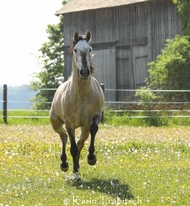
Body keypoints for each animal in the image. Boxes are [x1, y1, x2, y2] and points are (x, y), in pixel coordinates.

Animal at [49, 29, 104, 178]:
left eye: (90, 49)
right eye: (75, 50)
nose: (84, 72)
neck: (82, 95)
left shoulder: (95, 116)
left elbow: (93, 130)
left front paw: (91, 158)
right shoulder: (69, 123)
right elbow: (72, 148)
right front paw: (74, 173)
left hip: (83, 127)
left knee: (80, 142)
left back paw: (77, 168)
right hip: (56, 123)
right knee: (64, 137)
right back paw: (65, 165)